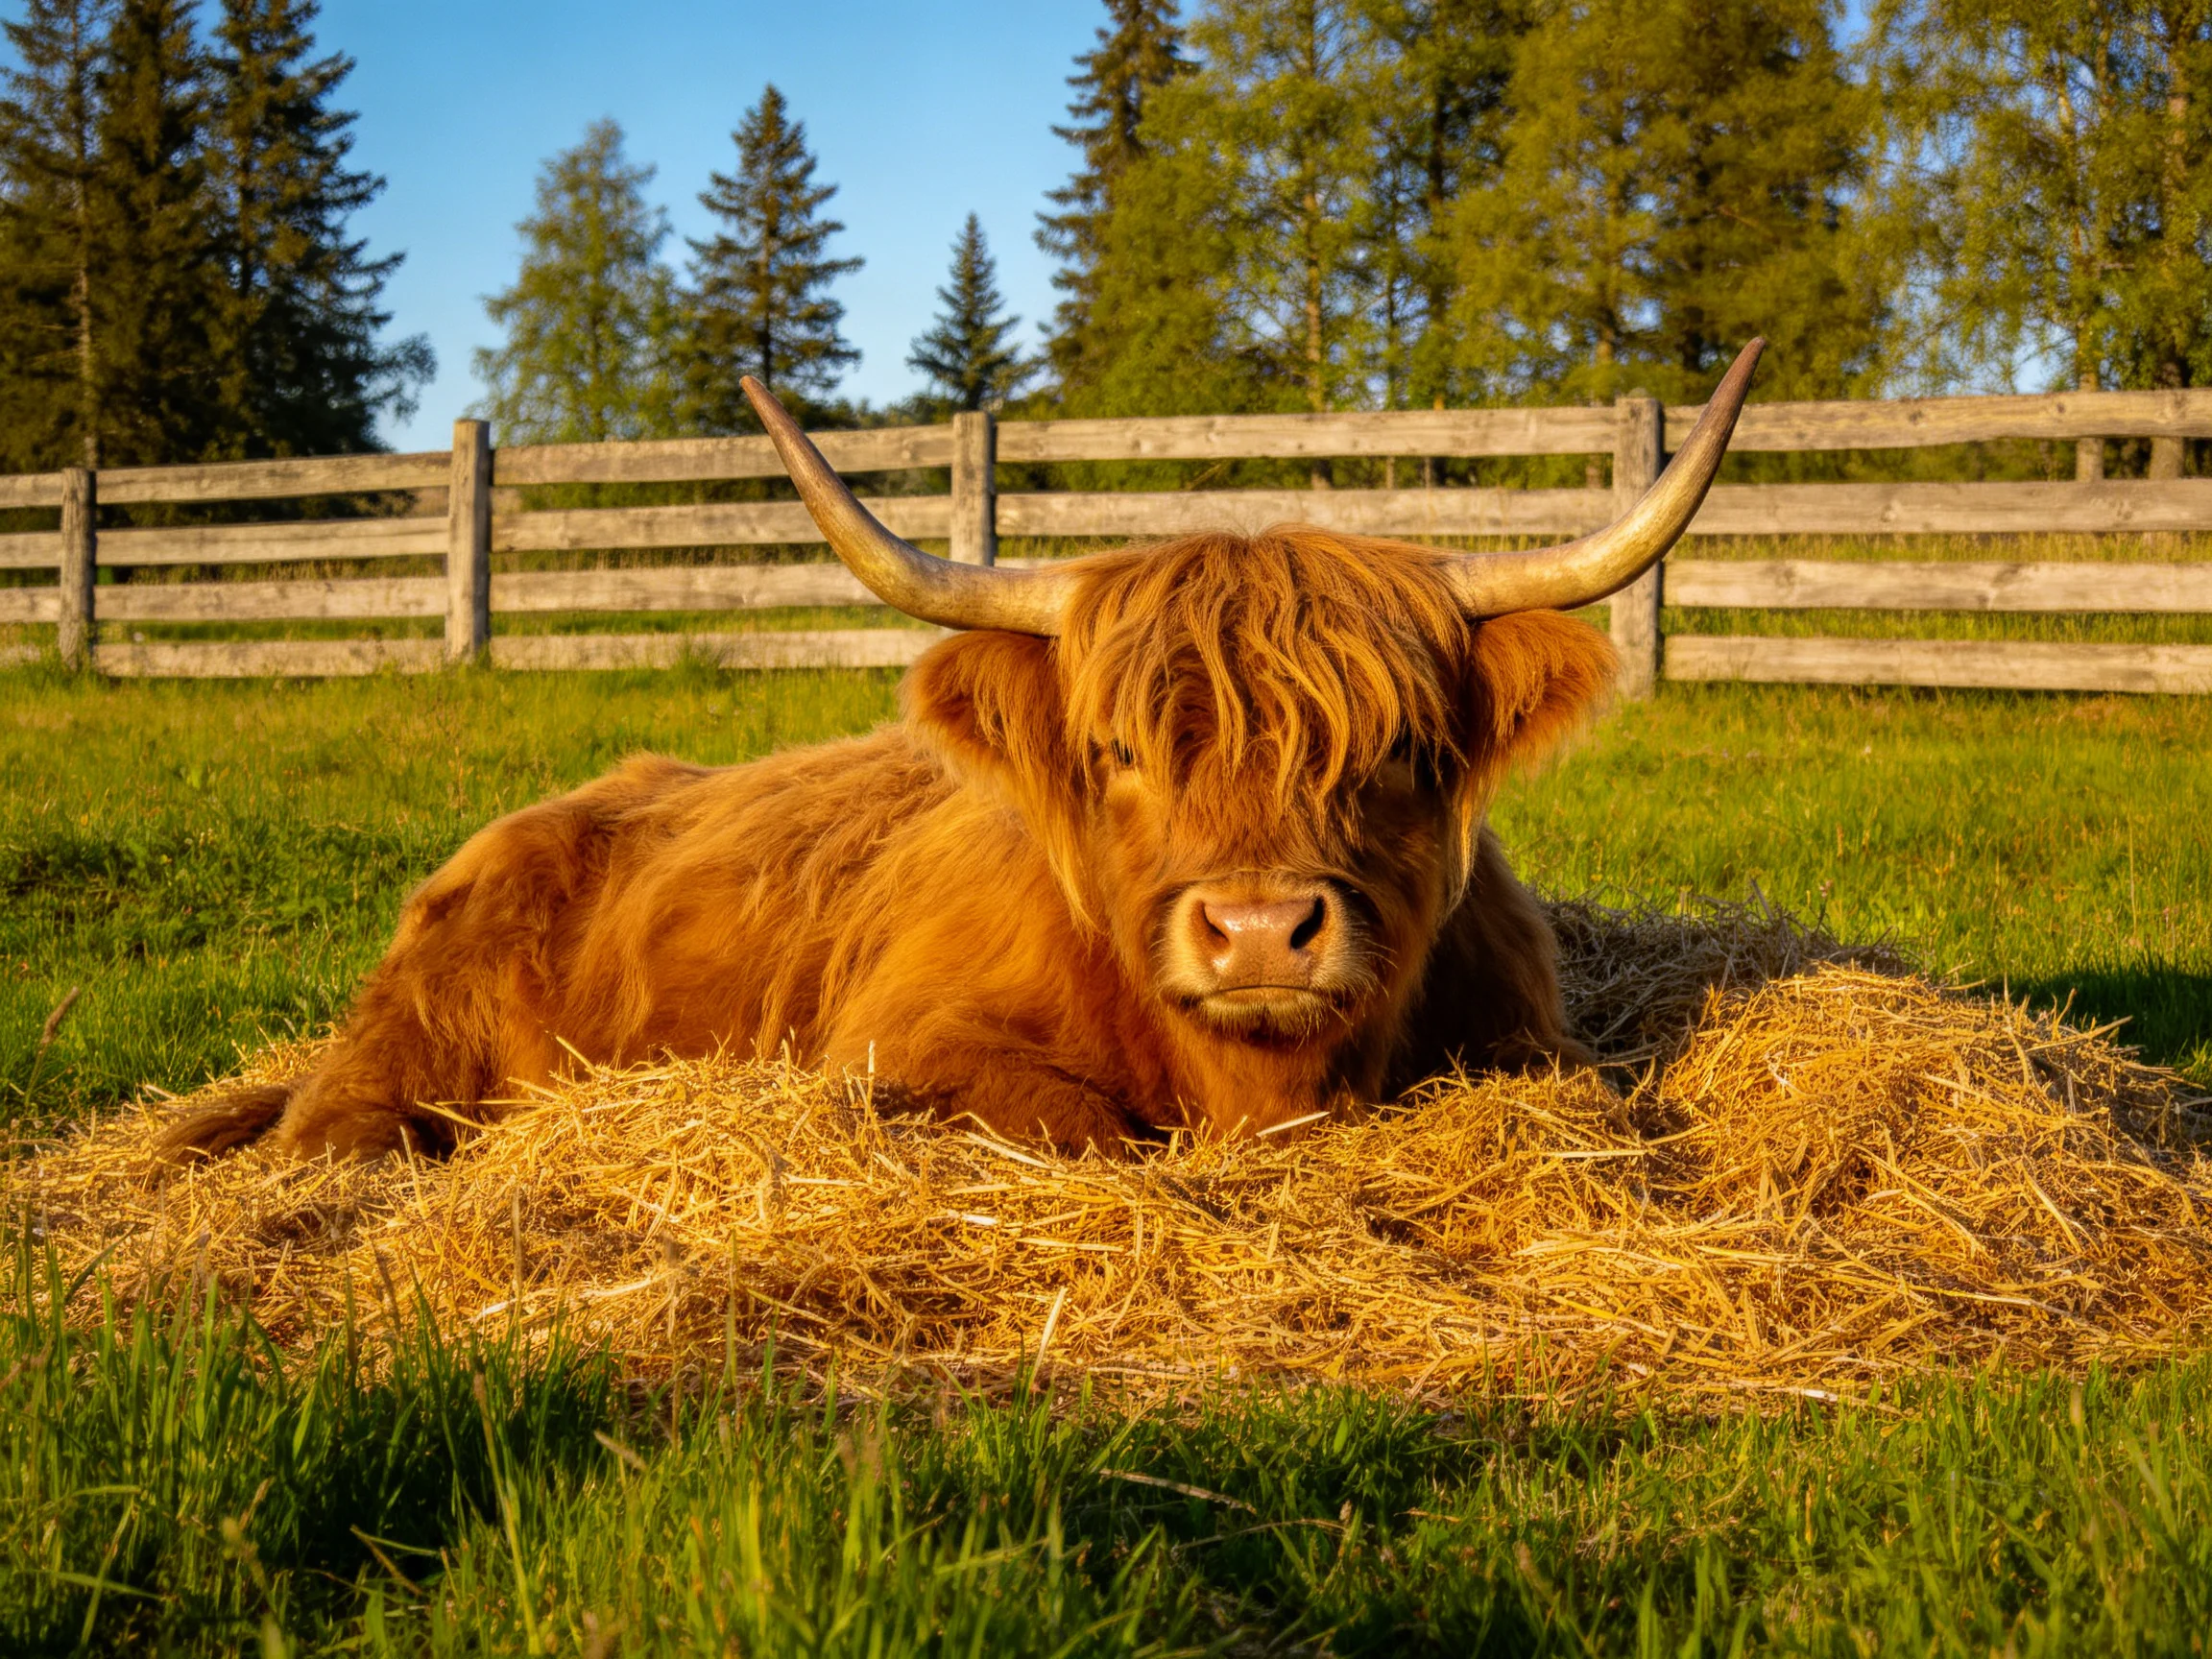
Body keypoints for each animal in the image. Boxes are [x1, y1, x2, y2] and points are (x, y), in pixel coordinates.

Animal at [164, 341, 1763, 1163]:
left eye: (1401, 748)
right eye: (1118, 750)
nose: (1259, 931)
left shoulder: (1534, 1040)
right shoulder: (907, 1039)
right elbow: (1077, 1127)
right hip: (406, 1040)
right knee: (339, 1124)